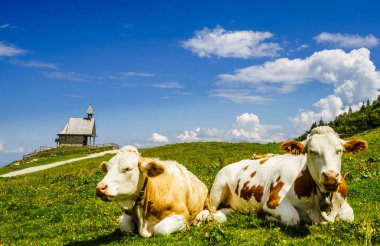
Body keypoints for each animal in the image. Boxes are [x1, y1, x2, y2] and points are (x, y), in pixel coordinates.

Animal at [197, 127, 366, 227]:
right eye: (311, 151)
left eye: (339, 150)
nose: (331, 176)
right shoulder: (273, 201)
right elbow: (293, 218)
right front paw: (267, 217)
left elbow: (349, 216)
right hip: (217, 187)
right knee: (209, 209)